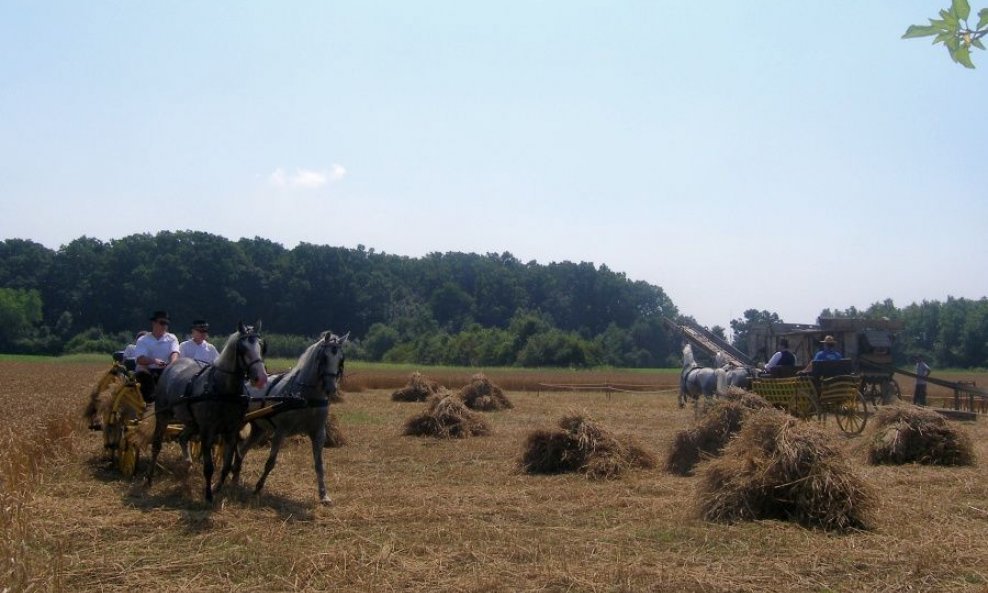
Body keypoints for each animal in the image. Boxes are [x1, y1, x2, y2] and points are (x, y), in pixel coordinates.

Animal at [145, 322, 268, 502]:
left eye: (261, 346)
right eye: (242, 348)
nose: (261, 378)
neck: (224, 392)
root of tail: (171, 365)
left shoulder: (231, 431)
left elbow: (226, 465)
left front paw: (218, 489)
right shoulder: (207, 431)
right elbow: (209, 467)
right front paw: (208, 495)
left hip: (192, 422)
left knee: (183, 437)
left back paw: (188, 465)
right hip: (163, 416)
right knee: (156, 445)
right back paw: (149, 478)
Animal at [233, 328, 350, 504]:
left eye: (341, 359)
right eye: (324, 358)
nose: (331, 388)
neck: (305, 398)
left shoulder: (319, 433)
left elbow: (319, 465)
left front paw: (324, 495)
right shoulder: (281, 431)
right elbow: (271, 462)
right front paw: (258, 487)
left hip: (258, 428)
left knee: (242, 449)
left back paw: (235, 476)